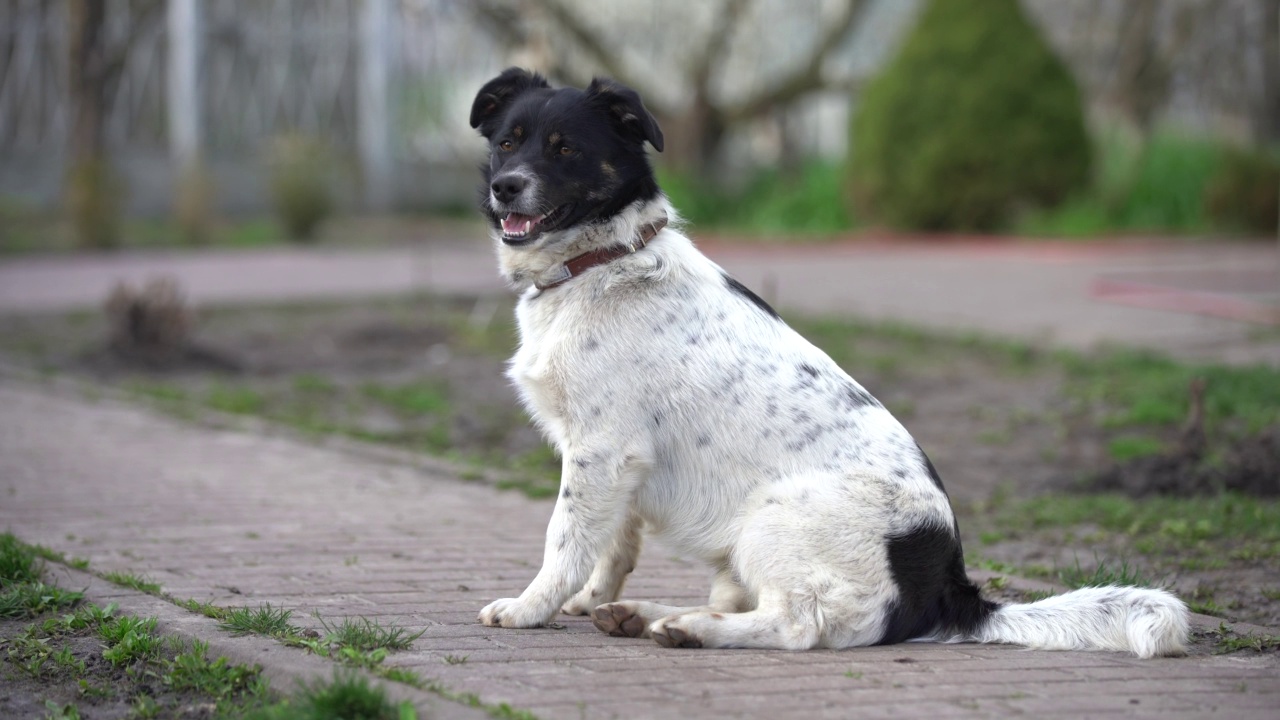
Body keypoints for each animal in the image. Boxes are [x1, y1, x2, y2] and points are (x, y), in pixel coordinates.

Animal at [471, 68, 1187, 655]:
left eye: (565, 147)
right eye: (508, 141)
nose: (506, 187)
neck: (603, 261)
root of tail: (951, 587)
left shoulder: (601, 449)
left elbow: (566, 540)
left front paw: (532, 607)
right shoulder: (619, 462)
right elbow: (613, 544)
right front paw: (588, 599)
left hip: (772, 516)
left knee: (798, 623)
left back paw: (688, 628)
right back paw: (639, 614)